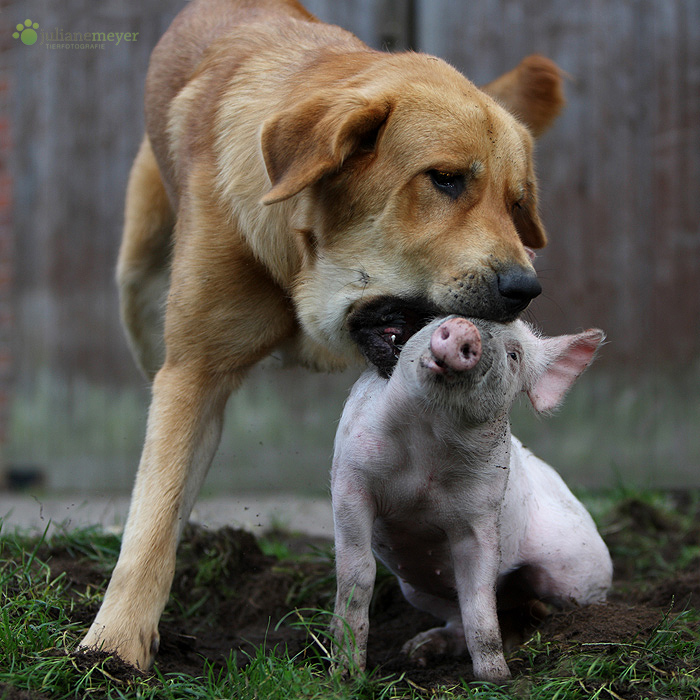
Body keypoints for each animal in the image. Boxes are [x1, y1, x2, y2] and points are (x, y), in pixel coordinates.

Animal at [79, 0, 568, 668]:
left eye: (516, 203)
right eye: (443, 179)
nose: (527, 288)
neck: (306, 267)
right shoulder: (193, 372)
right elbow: (154, 513)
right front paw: (115, 646)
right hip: (138, 293)